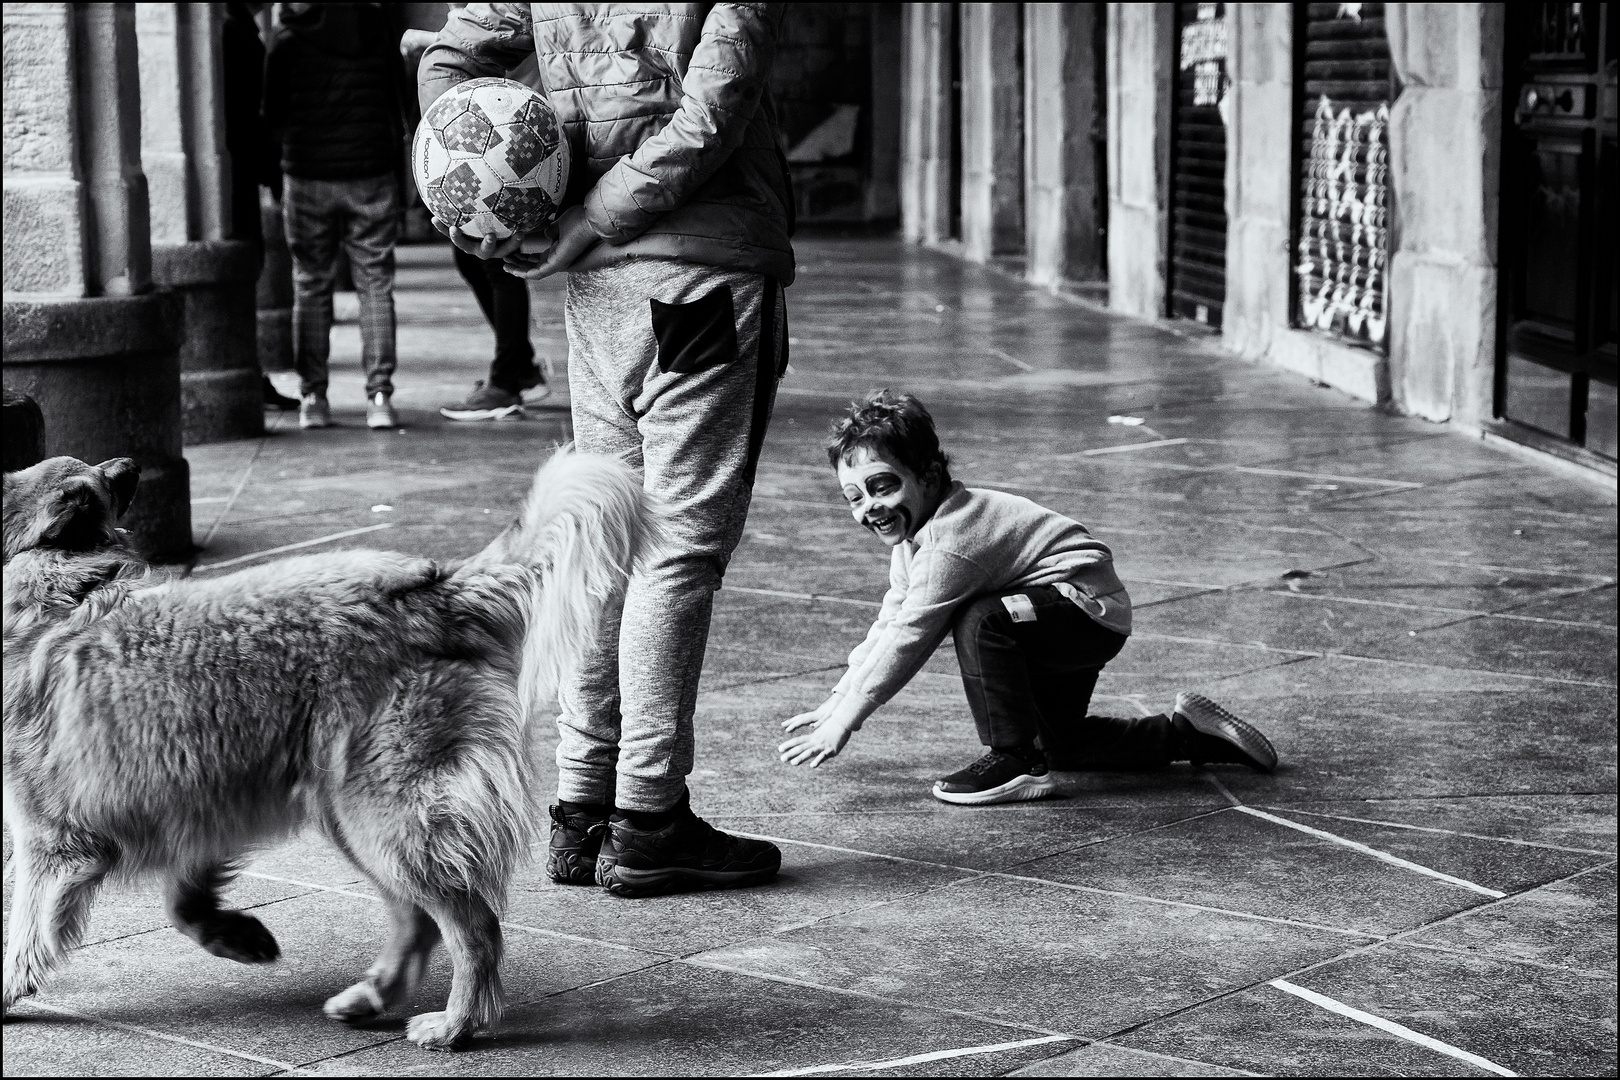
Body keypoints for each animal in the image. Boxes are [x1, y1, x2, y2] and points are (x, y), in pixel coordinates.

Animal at [3, 446, 657, 1049]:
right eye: (90, 477)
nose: (130, 463)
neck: (49, 599)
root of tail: (434, 588)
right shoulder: (196, 804)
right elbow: (182, 903)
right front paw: (235, 936)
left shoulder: (54, 843)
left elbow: (24, 930)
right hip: (354, 819)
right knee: (419, 921)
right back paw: (372, 998)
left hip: (384, 817)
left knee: (474, 927)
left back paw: (455, 1025)